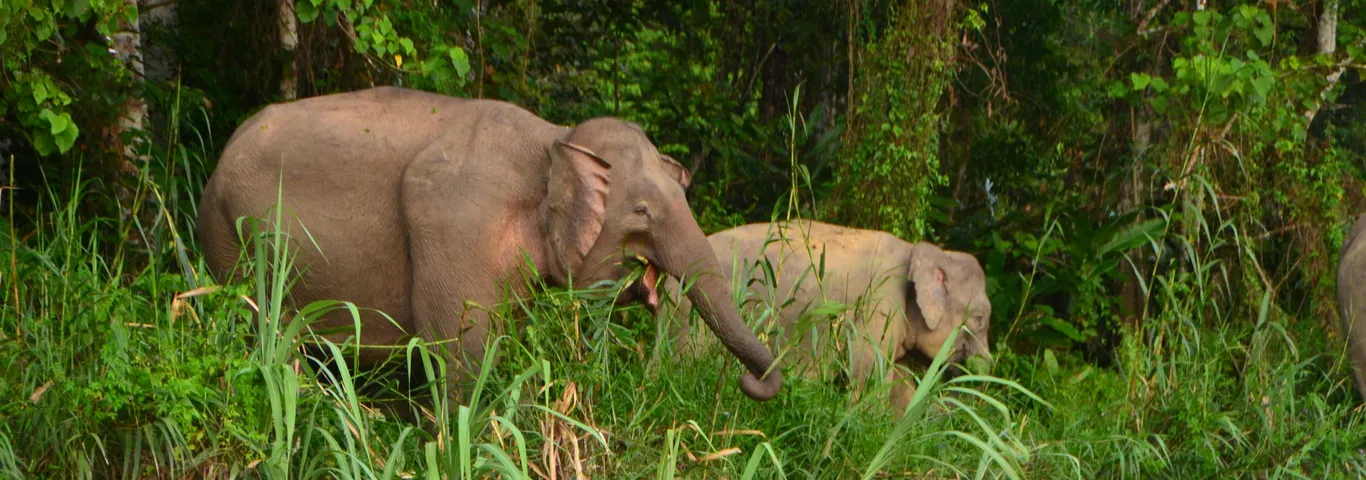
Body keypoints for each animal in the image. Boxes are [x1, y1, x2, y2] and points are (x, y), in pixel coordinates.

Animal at [197, 86, 782, 402]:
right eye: (643, 211)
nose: (749, 384)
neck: (552, 138)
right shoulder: (456, 225)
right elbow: (462, 353)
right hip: (235, 239)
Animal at [662, 220, 990, 412]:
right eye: (980, 319)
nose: (987, 362)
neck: (922, 250)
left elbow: (899, 384)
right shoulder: (878, 307)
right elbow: (868, 378)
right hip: (686, 311)